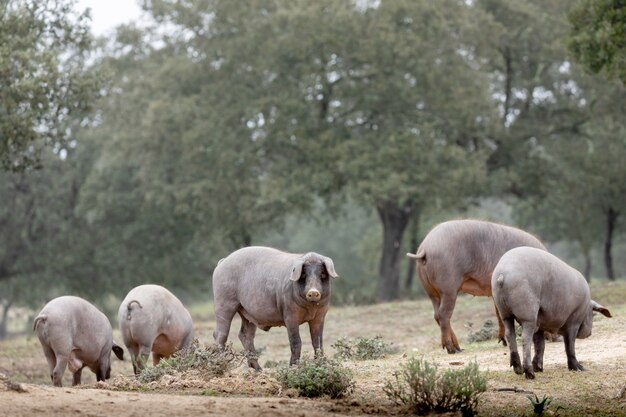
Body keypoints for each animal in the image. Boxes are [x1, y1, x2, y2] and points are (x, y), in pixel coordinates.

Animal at [404, 219, 544, 352]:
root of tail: (425, 248)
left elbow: (499, 313)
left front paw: (503, 341)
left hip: (431, 291)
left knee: (436, 314)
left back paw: (458, 348)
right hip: (448, 288)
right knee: (443, 314)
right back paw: (452, 349)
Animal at [490, 245, 608, 378]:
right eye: (593, 314)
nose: (590, 333)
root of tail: (502, 274)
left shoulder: (540, 324)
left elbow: (540, 344)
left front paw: (539, 368)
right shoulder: (573, 320)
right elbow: (569, 345)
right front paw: (579, 368)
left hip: (504, 312)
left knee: (510, 335)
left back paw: (519, 370)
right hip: (528, 313)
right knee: (525, 338)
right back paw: (530, 373)